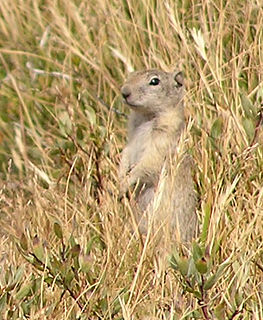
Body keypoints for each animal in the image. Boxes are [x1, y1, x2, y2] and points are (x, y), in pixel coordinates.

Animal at [119, 68, 198, 242]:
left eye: (154, 81)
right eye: (131, 75)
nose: (124, 92)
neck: (146, 117)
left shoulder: (160, 145)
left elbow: (146, 165)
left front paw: (124, 184)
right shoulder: (130, 142)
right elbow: (125, 154)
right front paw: (117, 181)